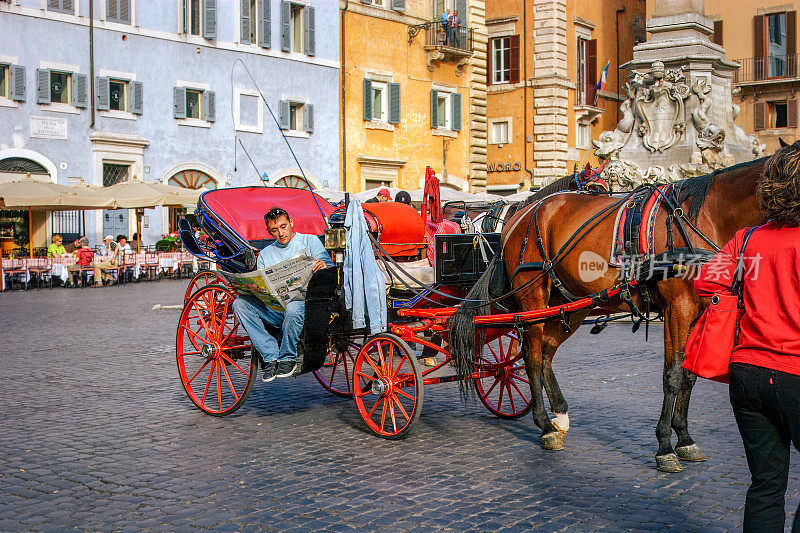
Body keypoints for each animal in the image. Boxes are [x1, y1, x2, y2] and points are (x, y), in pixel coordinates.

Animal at [450, 149, 768, 470]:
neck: (704, 217)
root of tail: (519, 215)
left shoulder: (700, 311)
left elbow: (689, 376)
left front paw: (685, 439)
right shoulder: (677, 309)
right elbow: (673, 375)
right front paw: (665, 446)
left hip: (569, 303)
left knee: (546, 352)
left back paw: (559, 417)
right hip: (533, 298)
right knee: (532, 356)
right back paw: (545, 426)